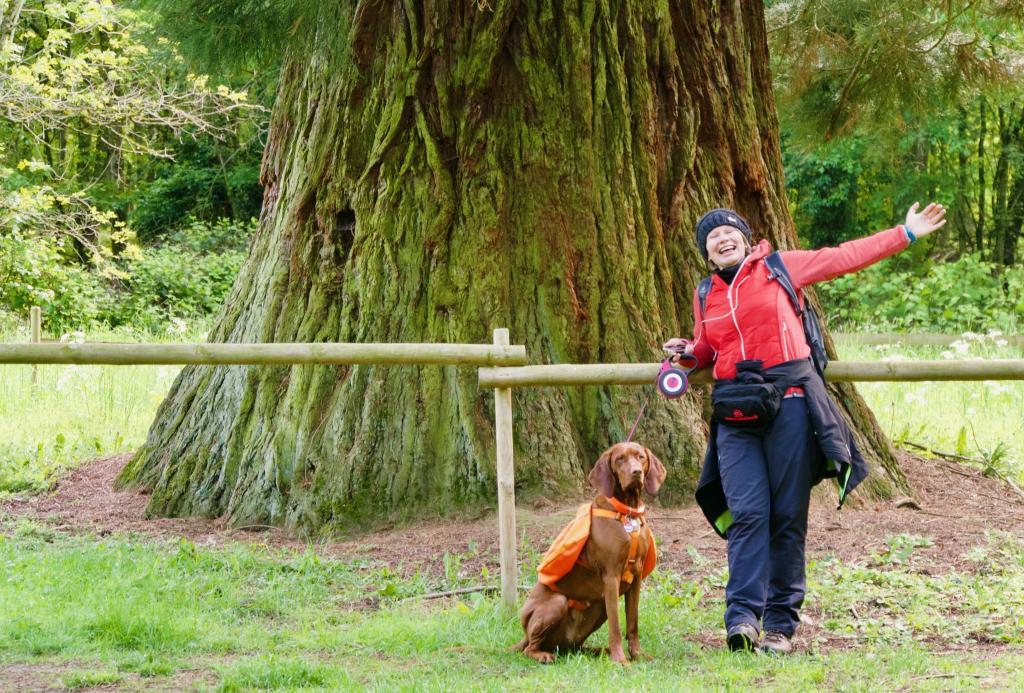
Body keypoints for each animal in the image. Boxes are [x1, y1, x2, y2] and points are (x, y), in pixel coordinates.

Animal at [512, 440, 671, 663]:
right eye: (620, 459)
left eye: (641, 457)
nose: (636, 472)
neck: (627, 512)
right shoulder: (611, 576)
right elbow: (616, 626)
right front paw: (620, 660)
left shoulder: (637, 576)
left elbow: (633, 622)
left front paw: (637, 655)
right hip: (557, 603)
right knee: (530, 648)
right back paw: (543, 655)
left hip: (597, 609)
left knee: (574, 647)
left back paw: (598, 651)